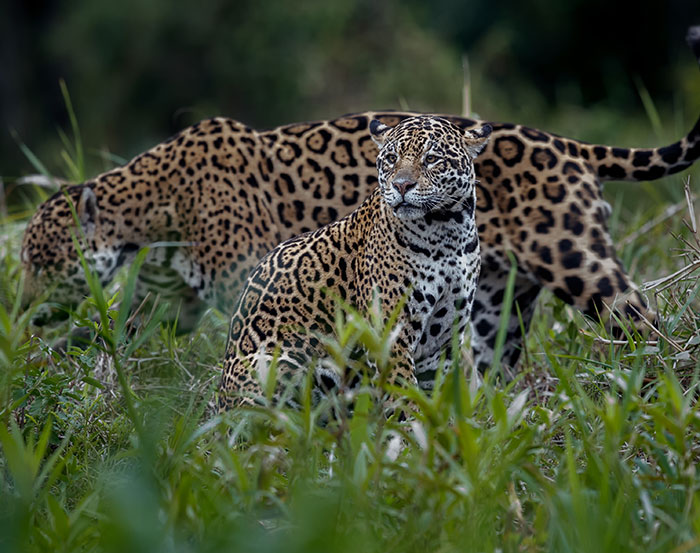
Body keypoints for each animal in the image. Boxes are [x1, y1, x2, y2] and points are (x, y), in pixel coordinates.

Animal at [20, 27, 700, 371]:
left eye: (42, 262)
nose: (21, 305)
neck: (152, 215)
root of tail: (565, 141)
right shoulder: (174, 301)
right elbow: (118, 332)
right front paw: (54, 360)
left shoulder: (244, 284)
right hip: (494, 305)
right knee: (497, 367)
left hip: (578, 263)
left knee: (648, 328)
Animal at [219, 115, 491, 408]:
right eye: (392, 158)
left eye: (431, 159)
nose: (401, 185)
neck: (447, 234)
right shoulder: (389, 333)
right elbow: (403, 393)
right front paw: (406, 421)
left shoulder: (443, 341)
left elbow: (432, 396)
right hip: (275, 361)